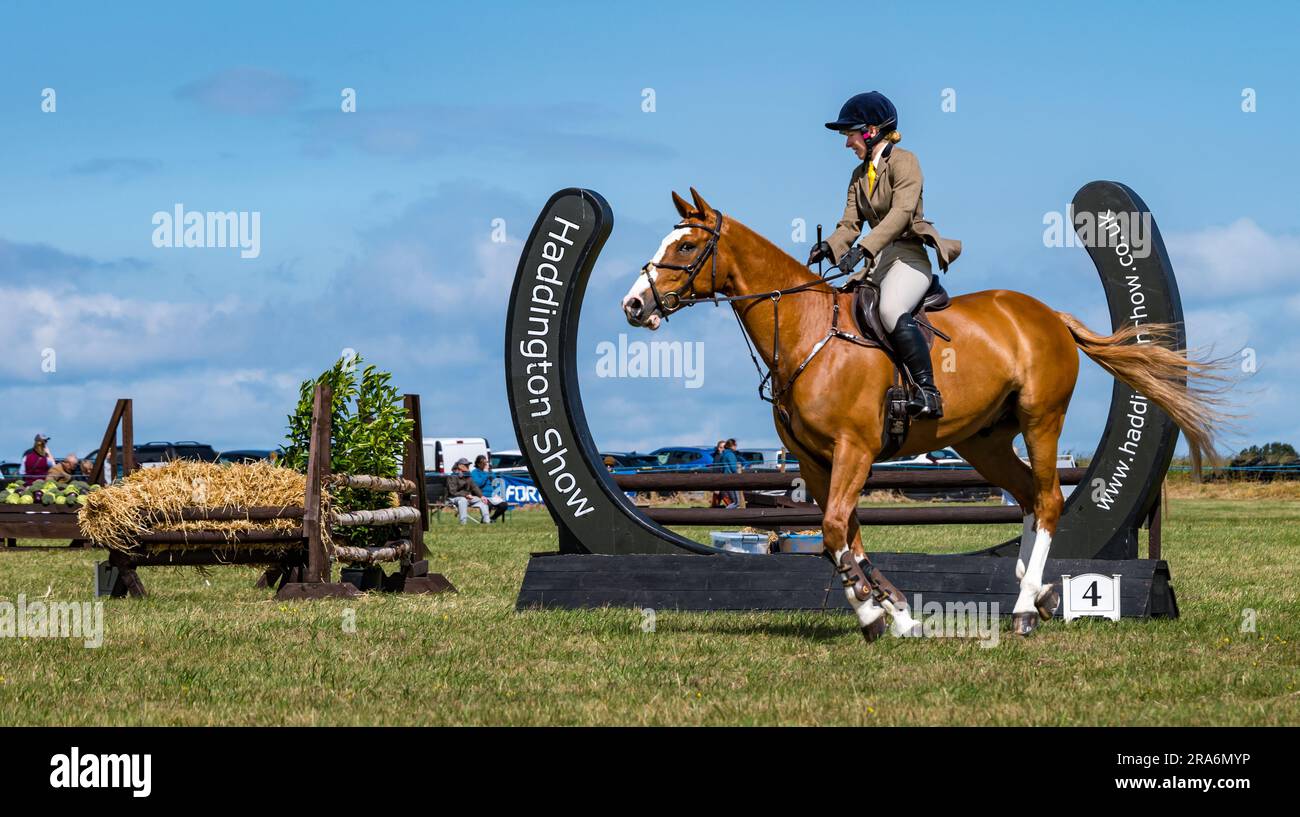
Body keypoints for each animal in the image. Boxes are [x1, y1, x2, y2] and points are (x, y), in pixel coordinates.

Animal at [624, 189, 1222, 637]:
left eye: (688, 245)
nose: (633, 305)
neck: (807, 332)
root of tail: (1048, 314)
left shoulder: (855, 449)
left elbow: (835, 530)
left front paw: (873, 612)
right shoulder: (816, 462)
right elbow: (844, 538)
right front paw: (895, 613)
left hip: (1040, 419)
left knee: (1050, 499)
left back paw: (1025, 609)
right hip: (983, 440)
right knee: (1029, 498)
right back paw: (1042, 593)